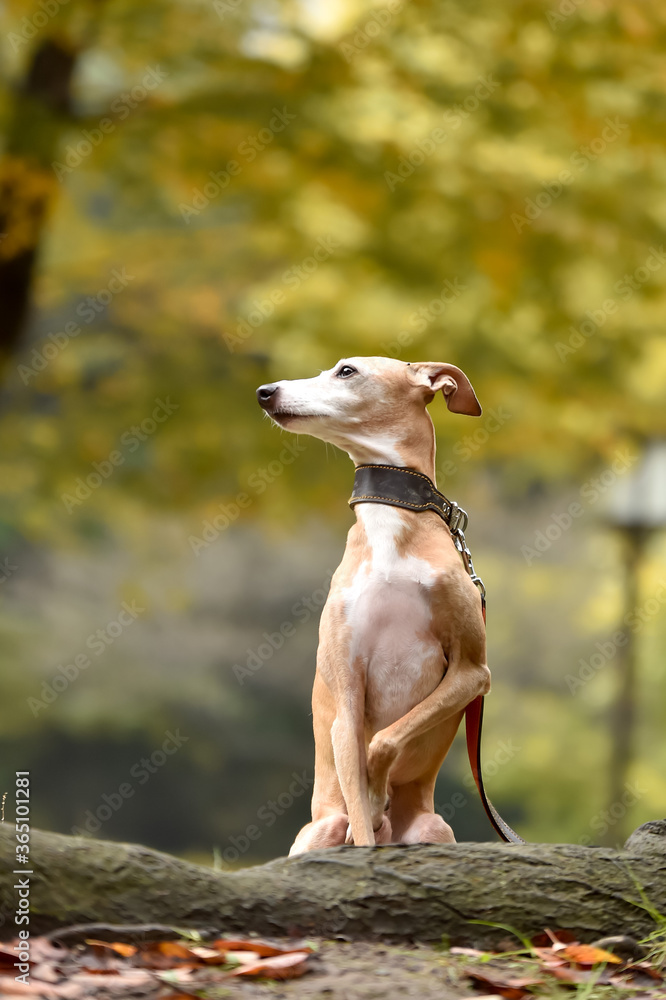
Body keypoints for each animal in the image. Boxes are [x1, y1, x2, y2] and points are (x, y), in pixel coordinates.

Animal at [255, 358, 488, 852]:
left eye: (346, 371)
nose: (264, 392)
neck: (388, 526)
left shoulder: (473, 670)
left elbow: (386, 740)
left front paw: (380, 794)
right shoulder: (346, 699)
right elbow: (361, 815)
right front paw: (372, 811)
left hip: (435, 827)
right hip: (321, 828)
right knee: (338, 824)